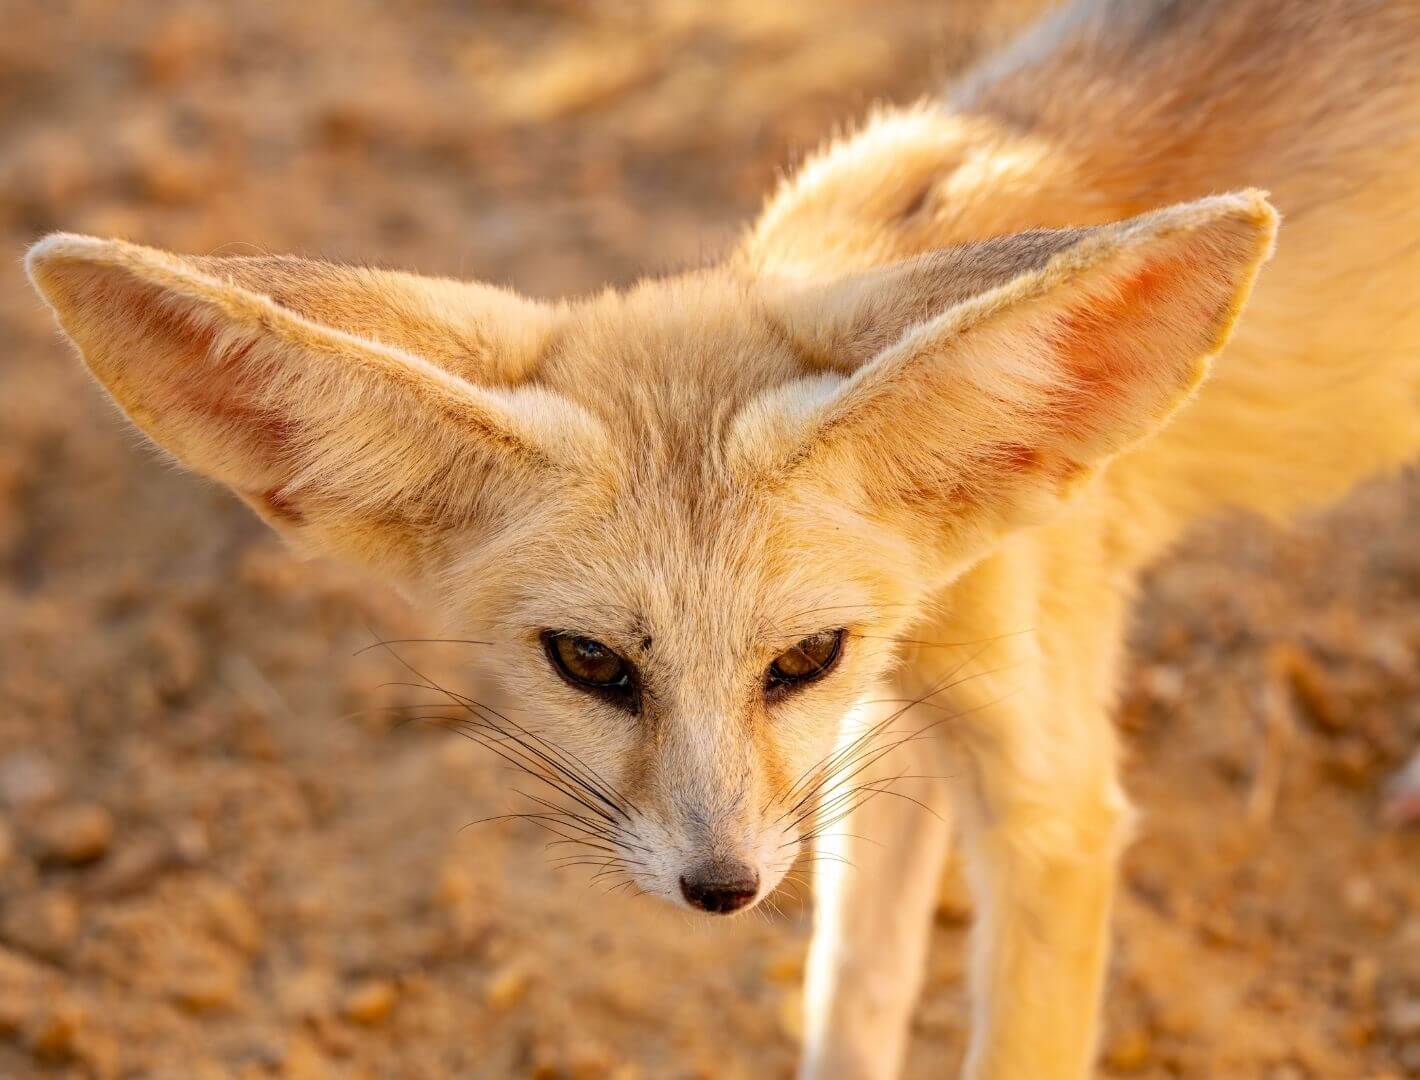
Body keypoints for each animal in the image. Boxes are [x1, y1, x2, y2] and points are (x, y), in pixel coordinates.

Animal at [23, 0, 1420, 1075]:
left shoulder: (1047, 795)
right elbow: (853, 992)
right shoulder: (890, 714)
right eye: (588, 663)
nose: (722, 889)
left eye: (800, 656)